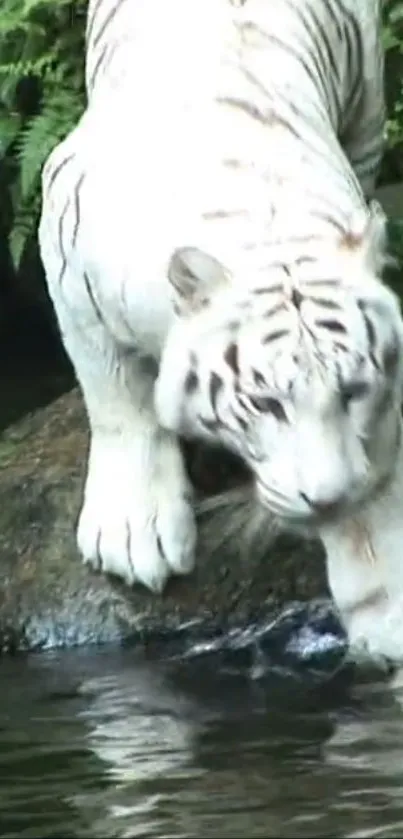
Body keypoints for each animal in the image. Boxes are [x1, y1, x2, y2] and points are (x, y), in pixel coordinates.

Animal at [38, 0, 403, 664]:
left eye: (353, 392)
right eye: (267, 403)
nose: (327, 498)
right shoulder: (67, 253)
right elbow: (116, 397)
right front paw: (134, 535)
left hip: (366, 97)